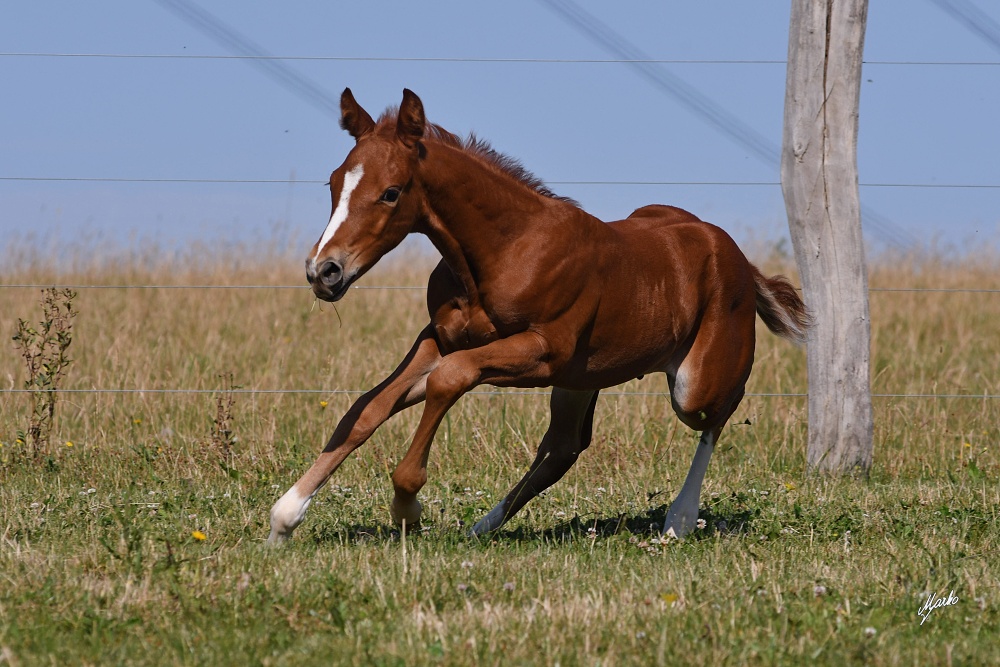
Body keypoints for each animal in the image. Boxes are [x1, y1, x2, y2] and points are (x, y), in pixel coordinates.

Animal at [268, 88, 812, 544]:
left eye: (391, 192)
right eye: (333, 182)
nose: (324, 271)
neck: (505, 250)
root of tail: (740, 261)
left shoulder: (543, 352)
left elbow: (450, 379)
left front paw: (406, 506)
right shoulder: (439, 338)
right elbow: (367, 408)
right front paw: (286, 515)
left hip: (690, 383)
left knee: (715, 417)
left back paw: (679, 519)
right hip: (583, 378)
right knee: (565, 446)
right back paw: (482, 527)